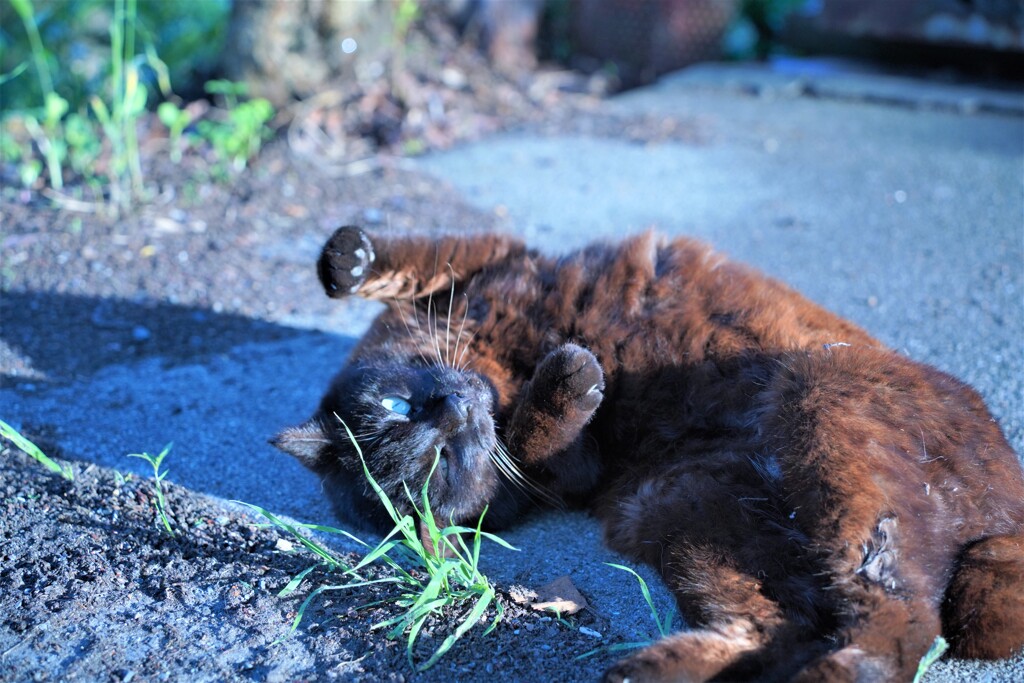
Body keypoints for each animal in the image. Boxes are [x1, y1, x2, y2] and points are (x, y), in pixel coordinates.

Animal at [274, 227, 1024, 679]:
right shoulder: (571, 472)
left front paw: (347, 259)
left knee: (879, 618)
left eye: (399, 407)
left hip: (819, 415)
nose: (458, 411)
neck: (499, 366)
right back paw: (651, 670)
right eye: (441, 465)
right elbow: (541, 434)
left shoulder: (495, 259)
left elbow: (415, 260)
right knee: (852, 626)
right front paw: (572, 376)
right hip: (688, 510)